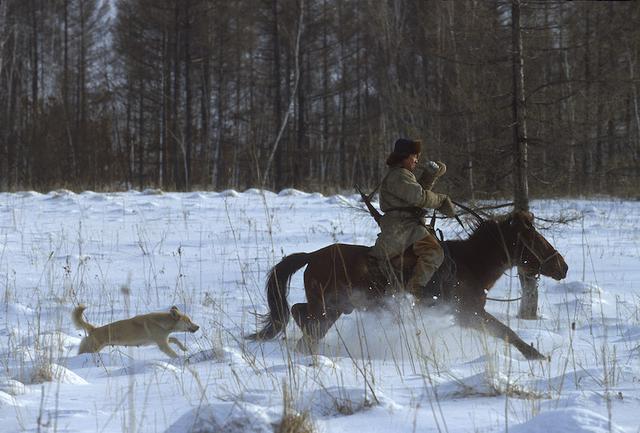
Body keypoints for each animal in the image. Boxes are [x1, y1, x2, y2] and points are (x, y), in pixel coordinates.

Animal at [248, 210, 568, 358]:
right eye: (533, 238)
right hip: (327, 305)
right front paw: (535, 355)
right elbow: (506, 331)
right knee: (302, 315)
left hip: (336, 308)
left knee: (304, 317)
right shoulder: (468, 313)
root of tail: (313, 255)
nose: (562, 266)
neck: (470, 263)